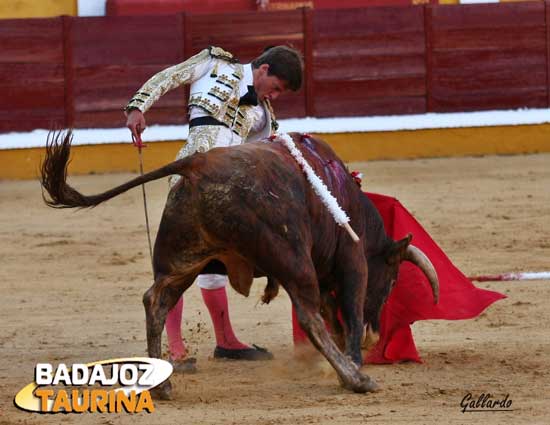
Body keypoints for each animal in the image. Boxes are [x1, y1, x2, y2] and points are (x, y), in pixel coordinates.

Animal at [41, 130, 440, 398]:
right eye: (392, 279)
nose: (377, 330)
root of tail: (196, 163)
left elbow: (335, 320)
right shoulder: (352, 260)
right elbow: (347, 314)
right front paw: (355, 361)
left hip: (182, 260)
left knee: (156, 300)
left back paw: (163, 386)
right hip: (293, 259)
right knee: (308, 315)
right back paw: (356, 381)